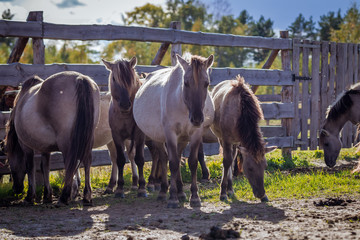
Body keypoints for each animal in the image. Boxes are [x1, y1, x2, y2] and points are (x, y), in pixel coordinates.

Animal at [5, 71, 100, 204]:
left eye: (9, 161)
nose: (16, 189)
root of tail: (79, 78)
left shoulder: (26, 145)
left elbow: (30, 167)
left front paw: (30, 196)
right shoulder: (45, 147)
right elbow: (44, 167)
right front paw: (47, 195)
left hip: (66, 143)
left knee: (70, 163)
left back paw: (65, 196)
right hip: (87, 138)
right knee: (87, 161)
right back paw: (86, 196)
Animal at [102, 57, 147, 198]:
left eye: (130, 78)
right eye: (114, 78)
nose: (125, 104)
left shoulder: (139, 135)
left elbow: (139, 159)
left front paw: (142, 188)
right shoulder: (117, 136)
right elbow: (120, 159)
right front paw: (119, 189)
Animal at [134, 53, 215, 207]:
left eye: (206, 84)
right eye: (186, 83)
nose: (197, 118)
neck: (183, 106)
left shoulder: (195, 134)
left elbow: (192, 162)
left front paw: (194, 197)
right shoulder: (170, 134)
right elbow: (172, 163)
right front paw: (172, 197)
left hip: (182, 139)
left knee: (175, 157)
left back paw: (181, 192)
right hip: (156, 137)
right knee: (164, 158)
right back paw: (163, 191)